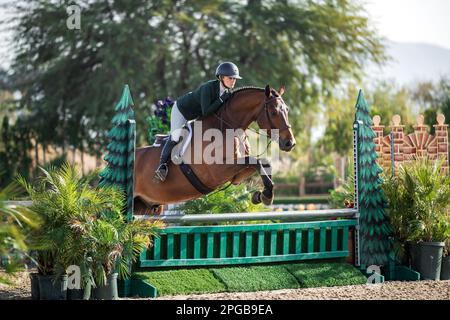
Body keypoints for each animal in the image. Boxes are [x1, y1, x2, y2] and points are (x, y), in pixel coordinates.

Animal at [134, 84, 296, 215]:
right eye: (274, 112)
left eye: (287, 110)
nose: (290, 143)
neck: (227, 127)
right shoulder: (216, 172)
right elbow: (255, 161)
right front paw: (266, 195)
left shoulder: (236, 176)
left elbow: (263, 163)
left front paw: (260, 195)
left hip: (147, 206)